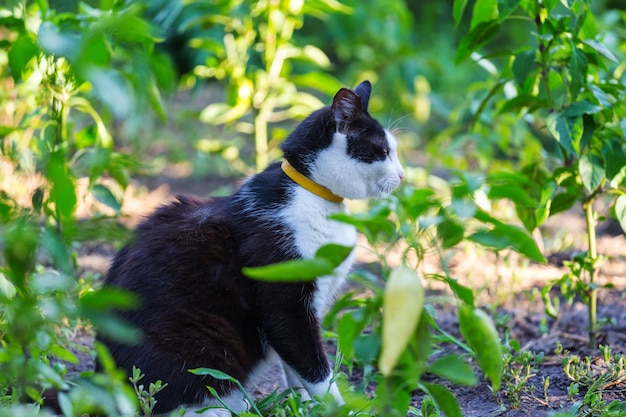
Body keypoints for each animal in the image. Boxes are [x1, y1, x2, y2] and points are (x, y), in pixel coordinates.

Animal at [95, 81, 402, 416]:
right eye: (383, 152)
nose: (402, 175)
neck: (314, 194)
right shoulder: (285, 299)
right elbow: (314, 366)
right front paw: (338, 408)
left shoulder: (312, 305)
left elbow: (294, 367)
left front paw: (303, 405)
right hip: (204, 340)